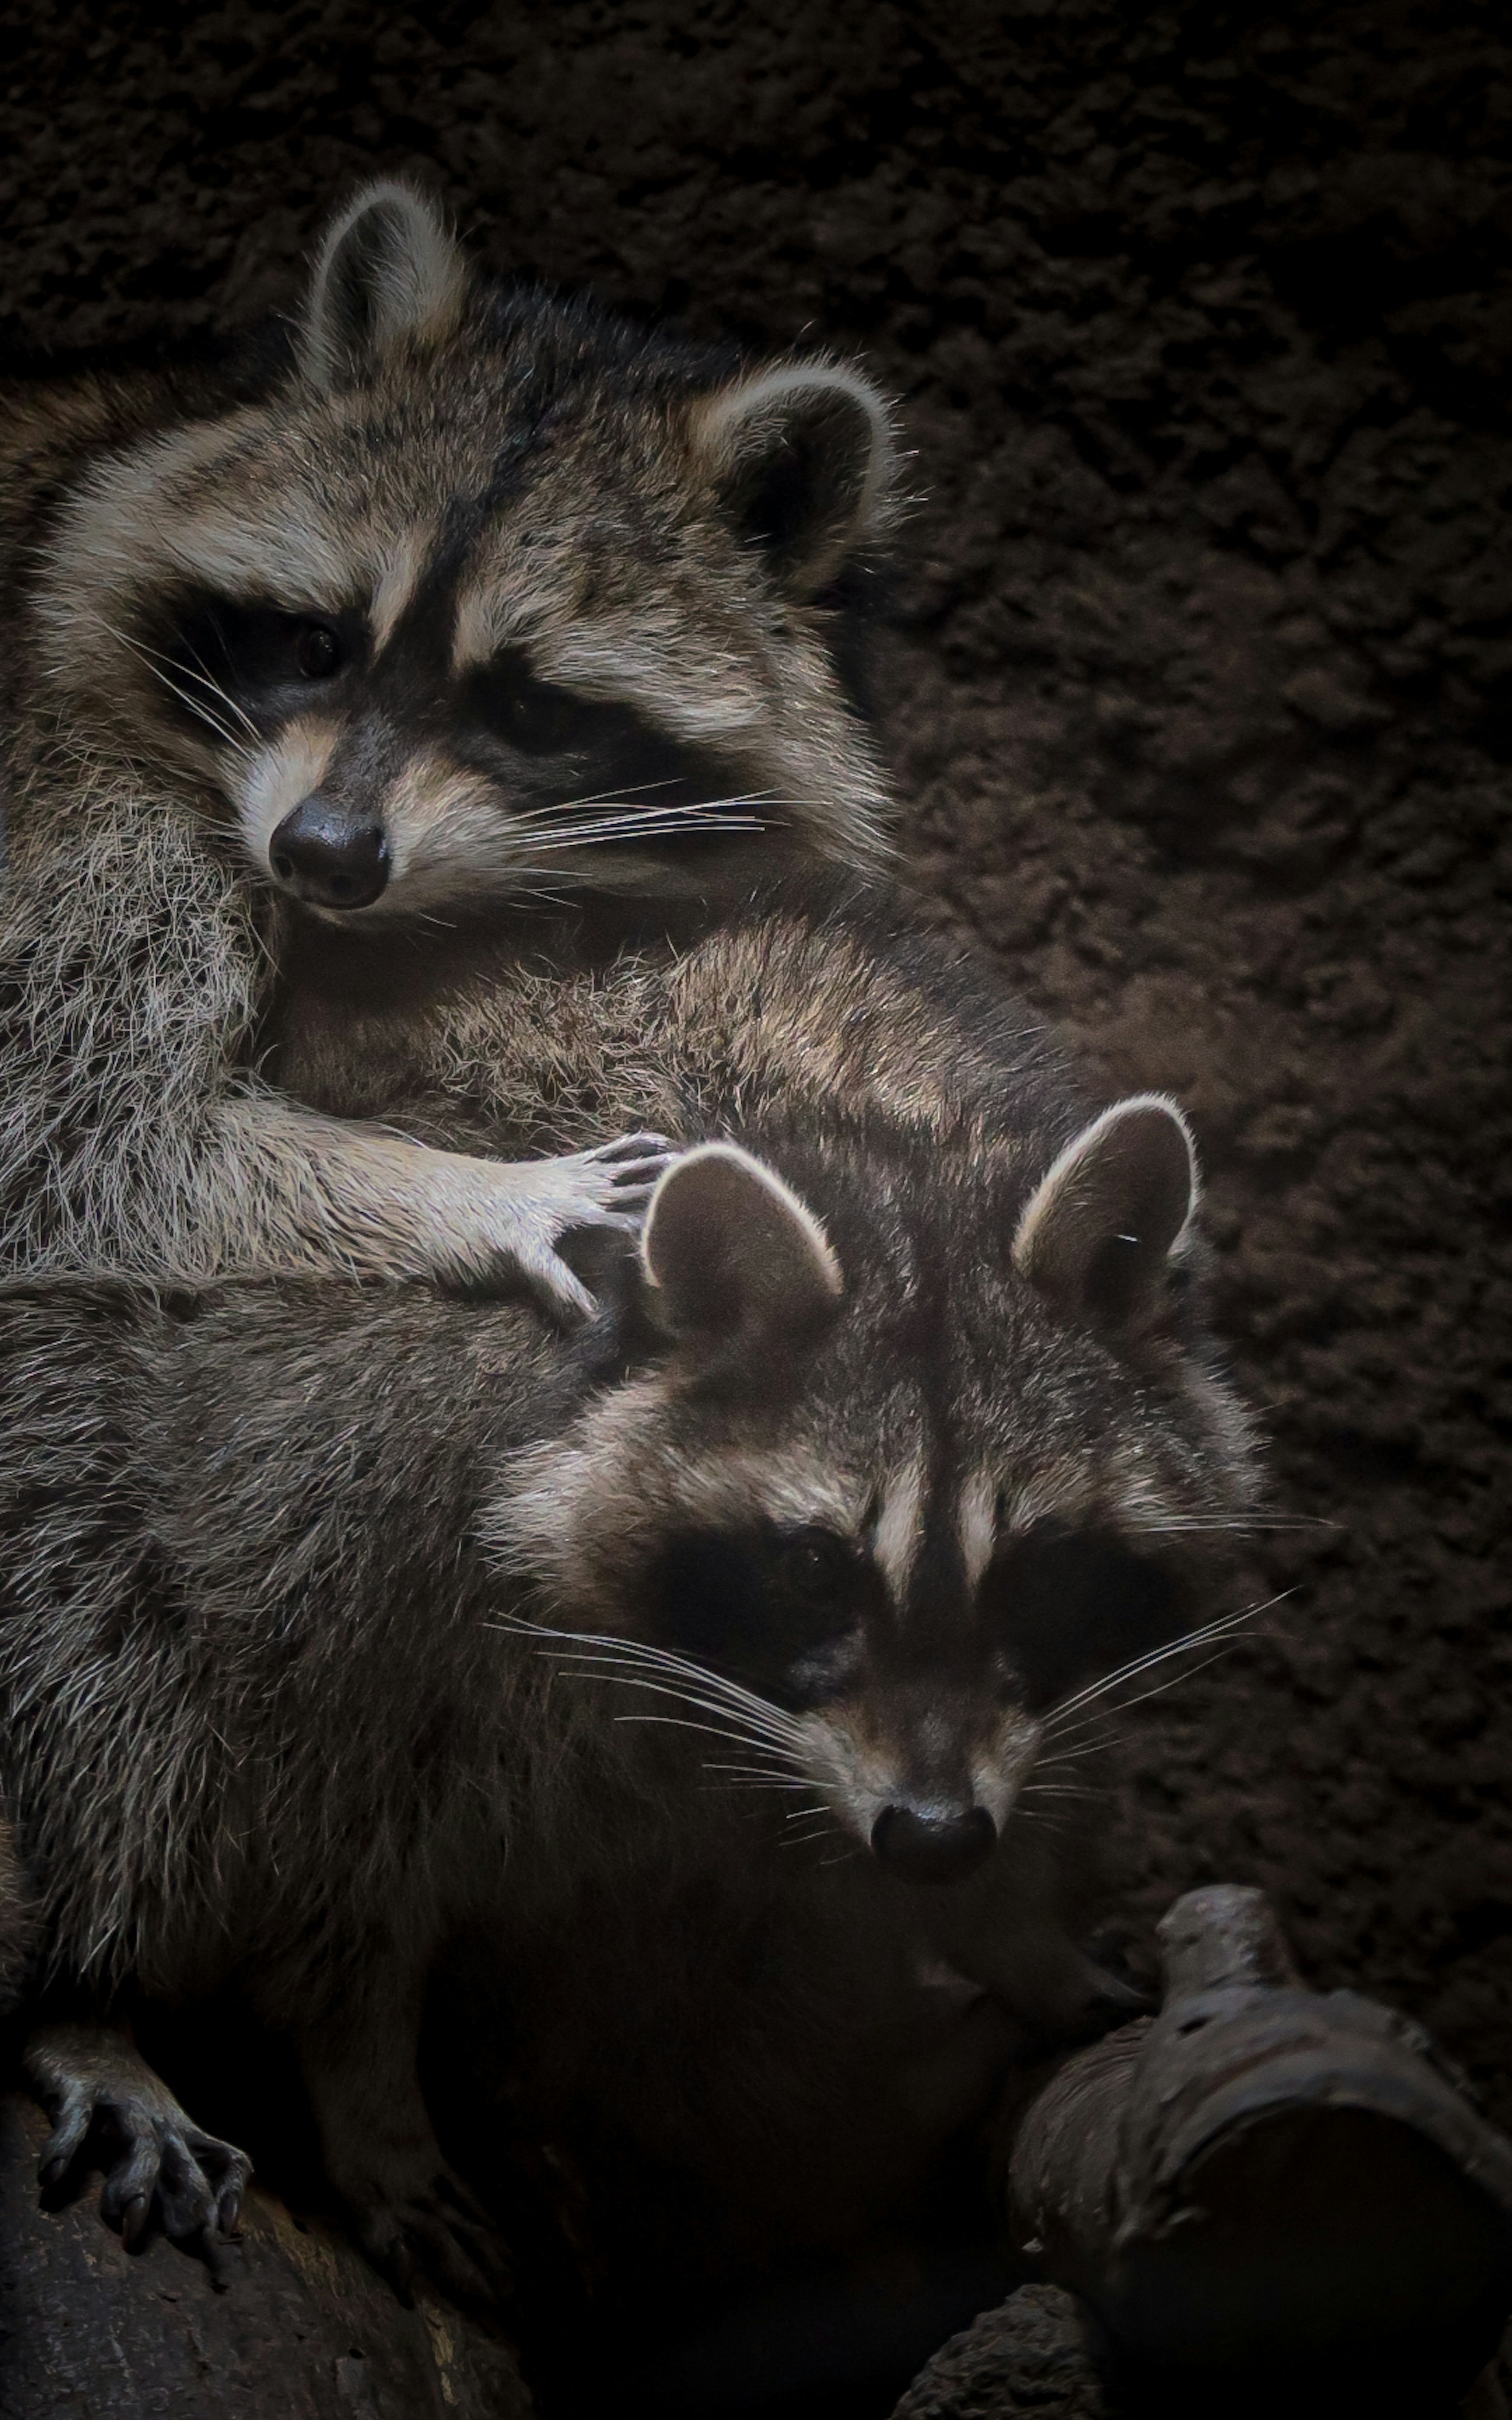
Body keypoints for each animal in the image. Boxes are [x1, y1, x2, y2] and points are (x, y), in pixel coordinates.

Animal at [0, 184, 895, 1326]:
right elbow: (83, 1140)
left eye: (530, 711)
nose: (323, 853)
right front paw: (480, 1196)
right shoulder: (84, 793)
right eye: (317, 647)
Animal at [0, 900, 1248, 2294]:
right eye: (814, 1568)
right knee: (109, 1672)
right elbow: (338, 1796)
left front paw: (1013, 1926)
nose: (933, 1837)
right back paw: (87, 1995)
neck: (868, 1153)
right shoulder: (357, 1464)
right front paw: (361, 2076)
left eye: (1036, 1569)